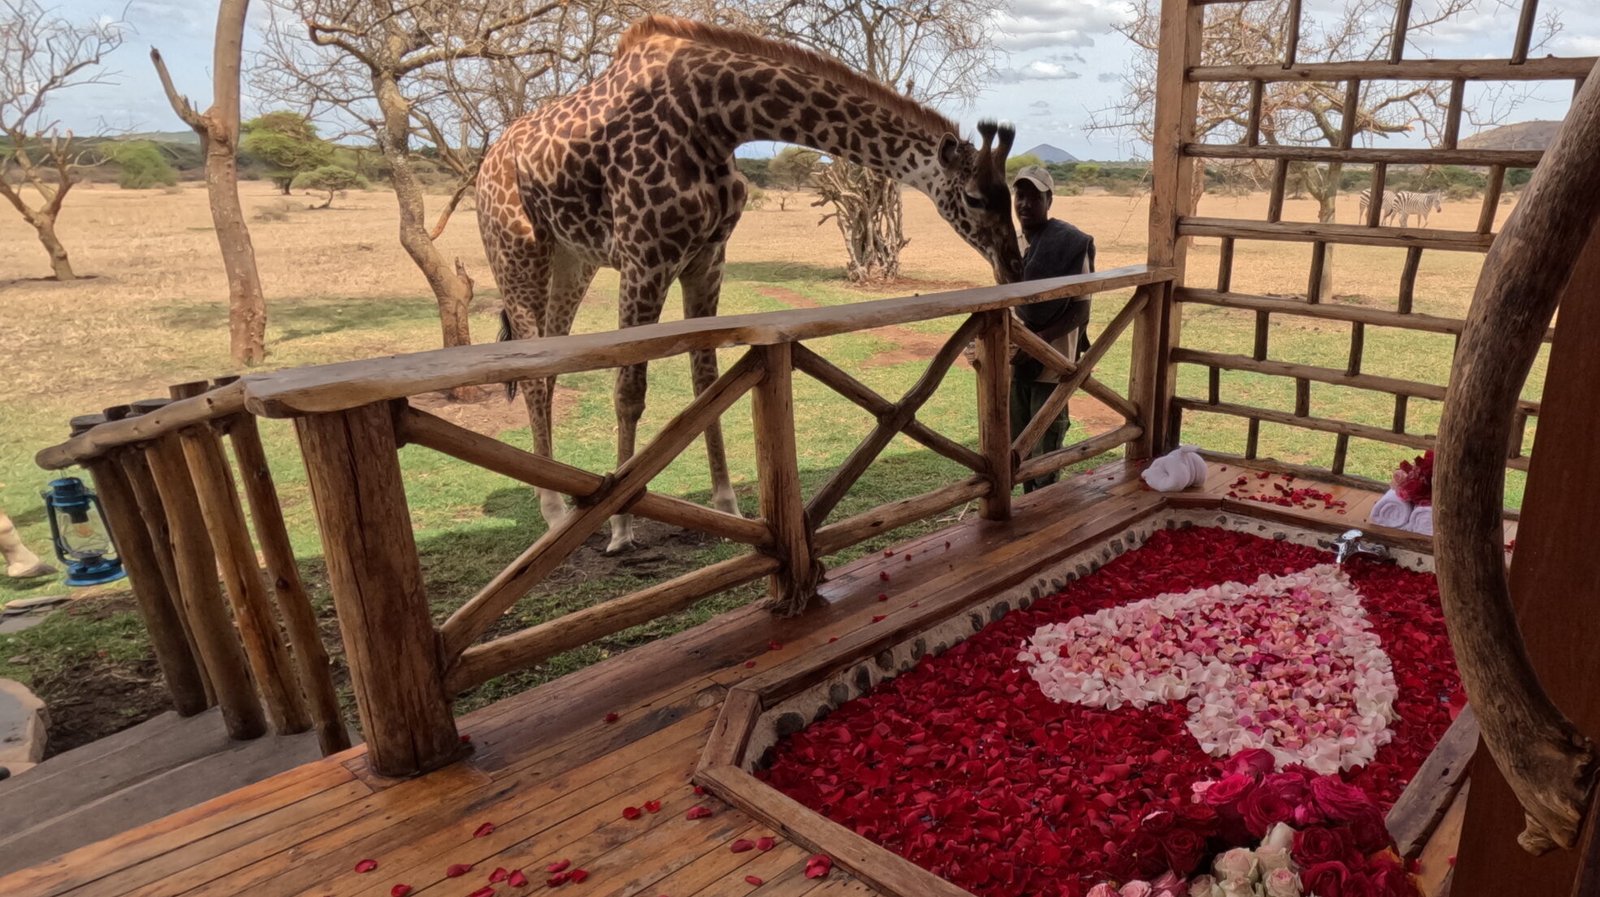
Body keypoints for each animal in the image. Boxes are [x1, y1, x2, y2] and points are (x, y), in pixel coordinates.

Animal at [477, 15, 1024, 554]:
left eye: (1009, 195)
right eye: (976, 198)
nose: (1013, 266)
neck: (717, 116)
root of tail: (488, 161)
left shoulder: (707, 257)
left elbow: (707, 382)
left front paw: (728, 506)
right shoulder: (644, 257)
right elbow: (629, 390)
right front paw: (621, 525)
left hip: (573, 259)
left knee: (547, 368)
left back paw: (560, 504)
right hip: (517, 252)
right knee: (533, 373)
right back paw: (554, 514)